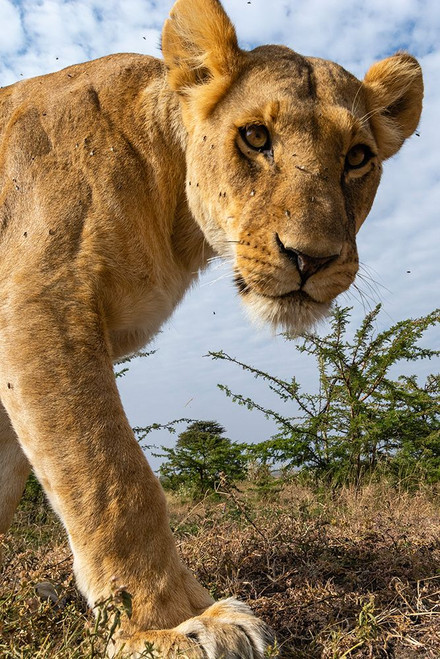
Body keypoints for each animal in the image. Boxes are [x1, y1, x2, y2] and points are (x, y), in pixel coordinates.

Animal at [0, 0, 422, 656]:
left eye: (357, 156)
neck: (171, 205)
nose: (312, 258)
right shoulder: (40, 301)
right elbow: (110, 476)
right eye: (255, 137)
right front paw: (167, 624)